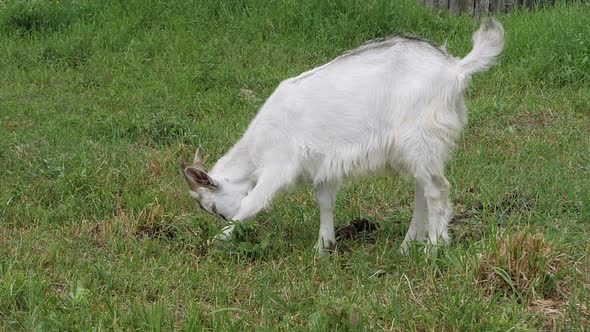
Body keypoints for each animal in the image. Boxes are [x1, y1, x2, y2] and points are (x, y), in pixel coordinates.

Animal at [183, 19, 506, 255]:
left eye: (212, 207)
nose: (224, 219)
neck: (260, 142)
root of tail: (457, 68)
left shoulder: (279, 165)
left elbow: (252, 203)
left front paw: (218, 240)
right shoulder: (323, 164)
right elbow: (325, 202)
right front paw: (323, 247)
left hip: (422, 138)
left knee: (437, 190)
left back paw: (433, 249)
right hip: (420, 148)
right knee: (422, 190)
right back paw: (406, 245)